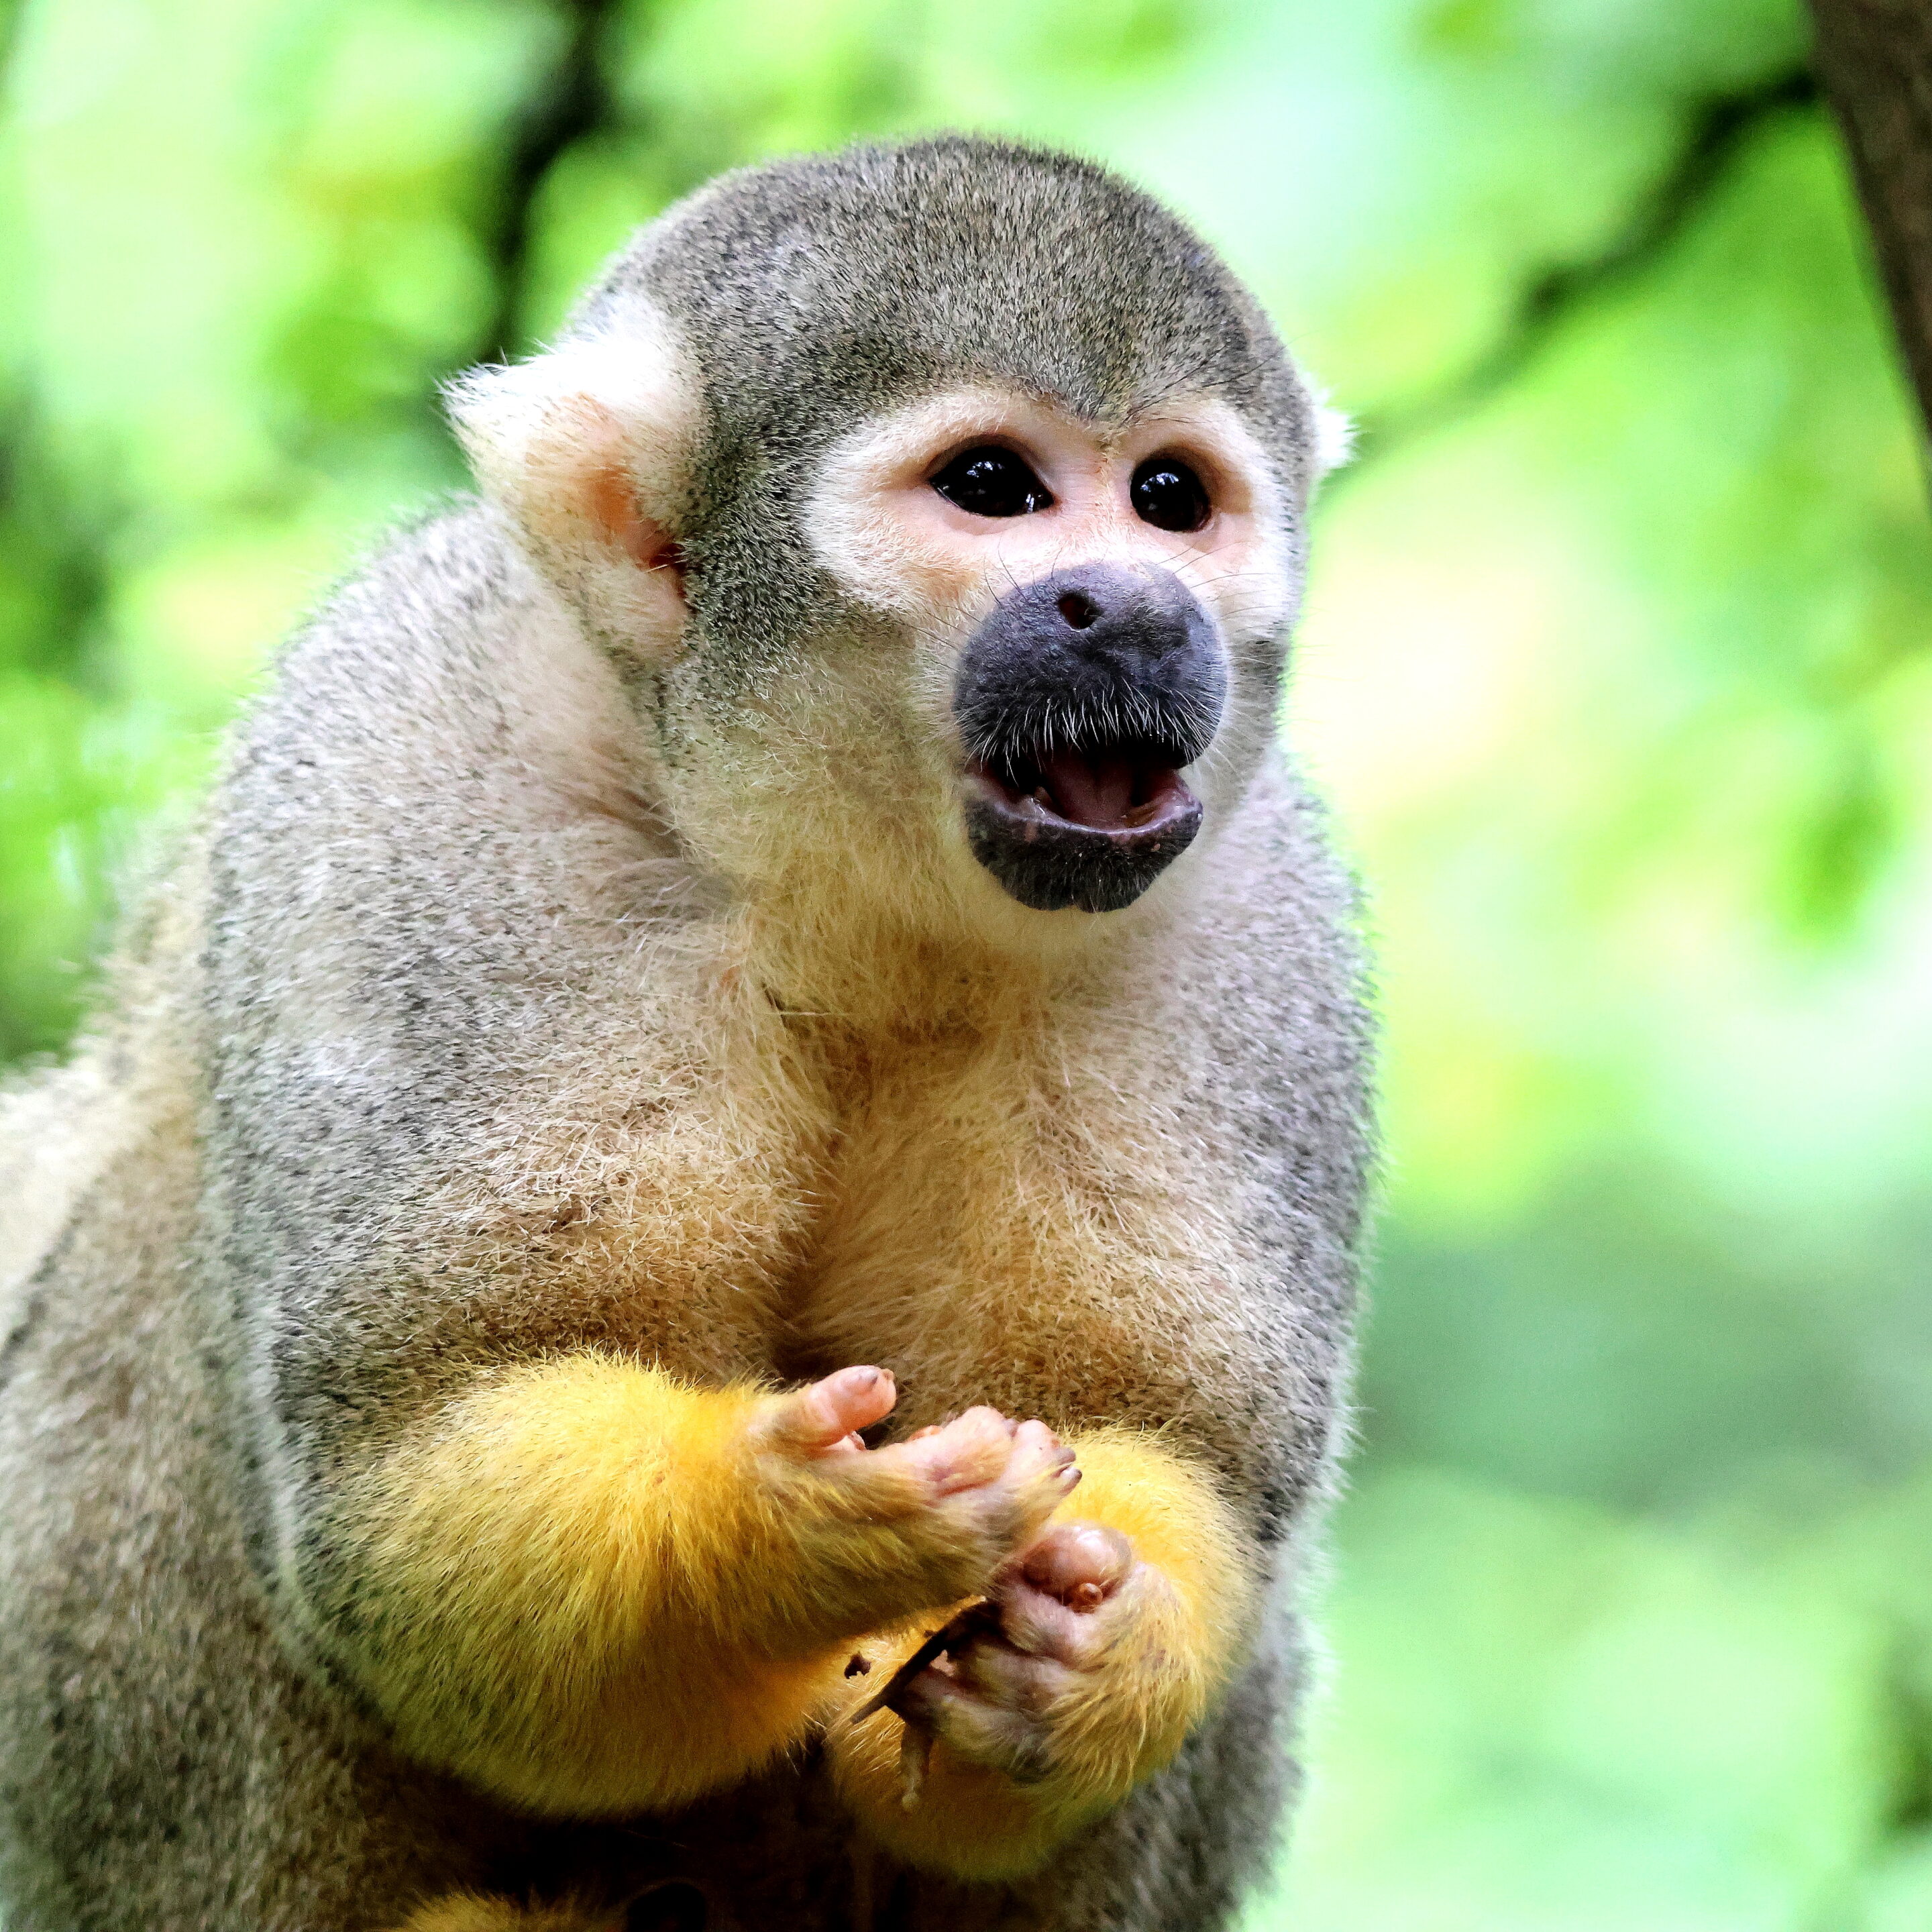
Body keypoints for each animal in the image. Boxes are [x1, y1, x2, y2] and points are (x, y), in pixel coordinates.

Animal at [0, 136, 1371, 1931]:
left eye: (1170, 498)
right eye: (993, 486)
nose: (1132, 610)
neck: (837, 890)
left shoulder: (1255, 919)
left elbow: (1160, 1443)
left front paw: (1087, 1653)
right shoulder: (424, 782)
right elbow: (406, 1454)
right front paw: (780, 1531)